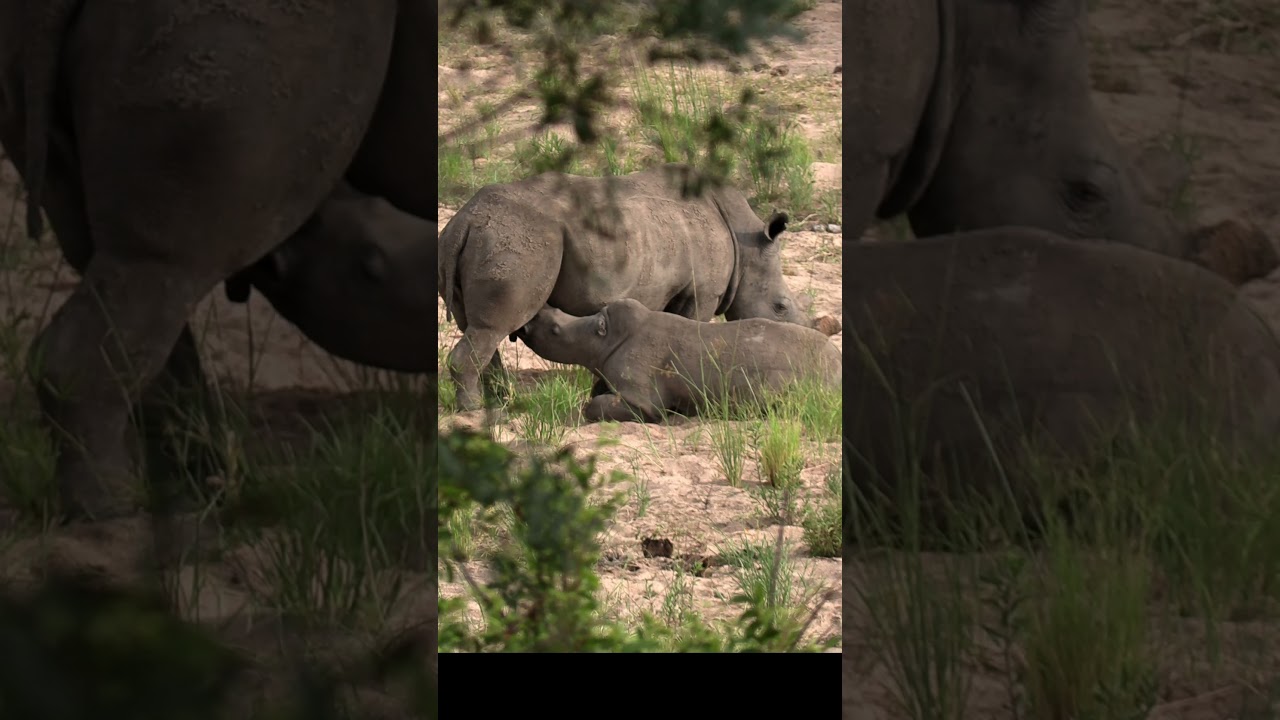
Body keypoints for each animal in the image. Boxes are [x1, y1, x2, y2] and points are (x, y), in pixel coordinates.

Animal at [0, 0, 420, 522]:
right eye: (370, 269)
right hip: (264, 37)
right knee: (168, 265)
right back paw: (113, 515)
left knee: (135, 277)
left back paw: (192, 492)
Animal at [435, 164, 818, 412]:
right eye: (781, 307)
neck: (745, 241)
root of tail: (465, 219)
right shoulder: (701, 291)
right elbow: (694, 327)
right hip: (515, 241)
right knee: (493, 327)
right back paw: (474, 411)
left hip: (479, 238)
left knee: (479, 327)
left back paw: (501, 402)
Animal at [519, 298, 841, 423]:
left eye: (554, 331)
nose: (529, 320)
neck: (601, 340)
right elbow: (596, 392)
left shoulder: (642, 397)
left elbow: (595, 405)